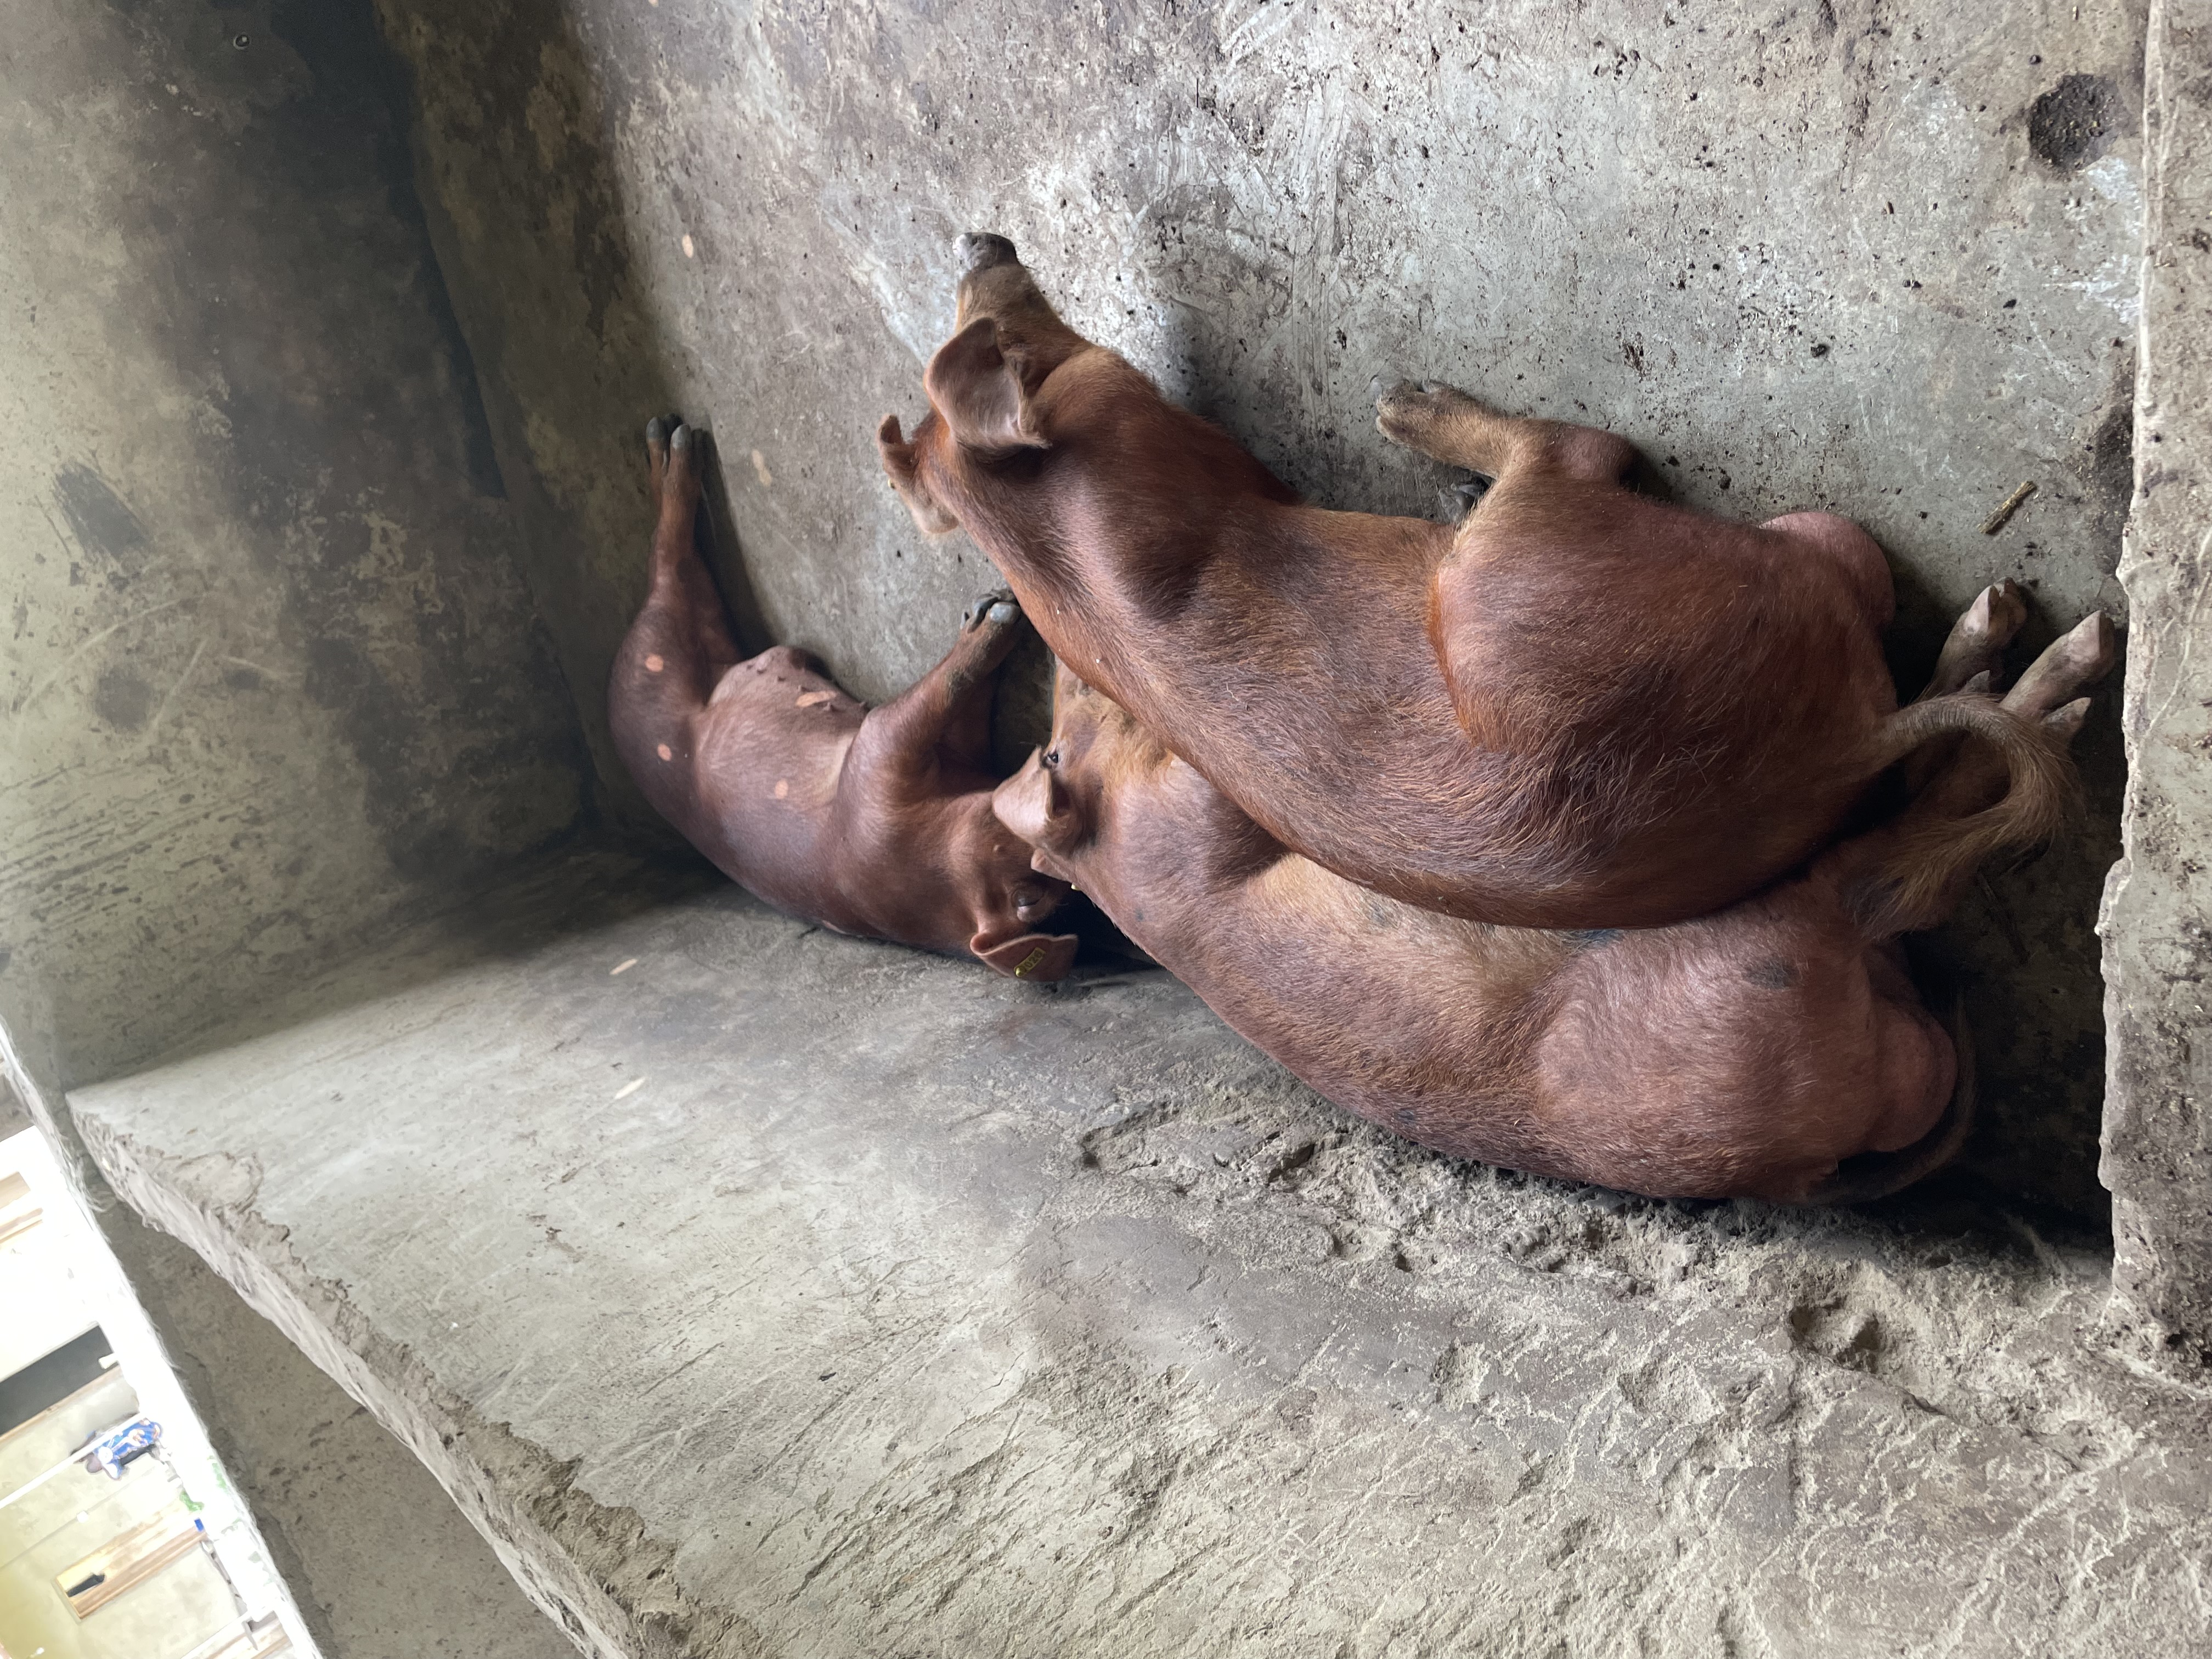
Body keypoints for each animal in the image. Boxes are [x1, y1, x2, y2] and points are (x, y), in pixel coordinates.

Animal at [610, 418, 1078, 980]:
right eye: (1029, 897)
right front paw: (998, 608)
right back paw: (676, 439)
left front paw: (991, 606)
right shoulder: (876, 768)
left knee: (680, 572)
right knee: (668, 565)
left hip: (696, 633)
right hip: (658, 653)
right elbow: (926, 701)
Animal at [882, 233, 2072, 934]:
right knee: (1586, 446)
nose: (982, 240)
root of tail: (1829, 743)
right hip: (1553, 550)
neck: (1049, 542)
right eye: (1009, 338)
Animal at [992, 583, 2113, 1202]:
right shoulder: (1190, 834)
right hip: (1776, 937)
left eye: (1054, 724)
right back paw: (2064, 678)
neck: (1118, 868)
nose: (1038, 634)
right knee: (1910, 846)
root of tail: (1810, 1148)